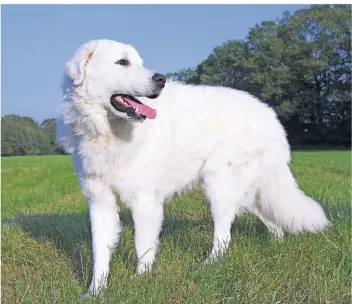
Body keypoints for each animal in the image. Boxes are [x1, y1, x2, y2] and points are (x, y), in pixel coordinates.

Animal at [55, 39, 330, 296]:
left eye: (140, 62)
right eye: (122, 62)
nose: (161, 79)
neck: (109, 133)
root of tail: (269, 114)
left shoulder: (145, 201)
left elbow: (142, 246)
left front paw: (141, 283)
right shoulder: (100, 202)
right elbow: (99, 252)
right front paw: (95, 292)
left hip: (218, 184)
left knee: (224, 234)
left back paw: (209, 265)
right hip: (245, 191)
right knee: (268, 219)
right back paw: (276, 245)